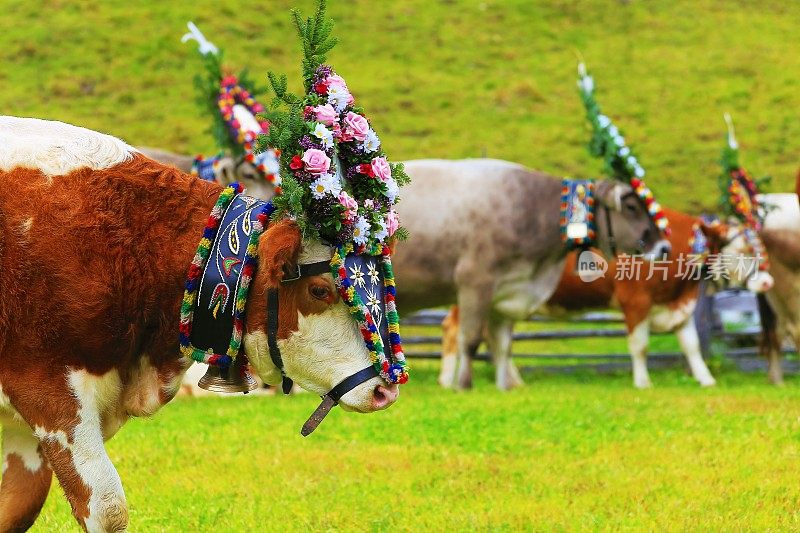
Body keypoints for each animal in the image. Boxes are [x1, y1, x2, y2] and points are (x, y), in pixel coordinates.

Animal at [440, 207, 772, 386]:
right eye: (744, 250)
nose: (768, 281)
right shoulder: (635, 301)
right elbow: (640, 346)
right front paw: (642, 382)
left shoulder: (677, 305)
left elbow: (691, 346)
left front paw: (706, 380)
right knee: (454, 329)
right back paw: (446, 380)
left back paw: (513, 381)